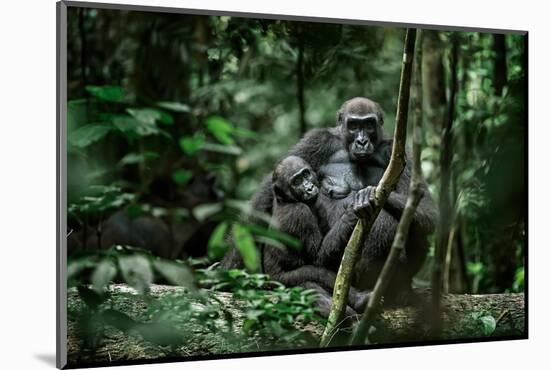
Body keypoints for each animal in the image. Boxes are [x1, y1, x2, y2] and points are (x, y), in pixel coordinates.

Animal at [264, 155, 370, 316]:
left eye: (305, 174)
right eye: (296, 182)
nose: (308, 187)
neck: (288, 200)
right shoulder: (300, 213)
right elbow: (318, 258)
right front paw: (351, 211)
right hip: (280, 281)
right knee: (315, 274)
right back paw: (357, 303)